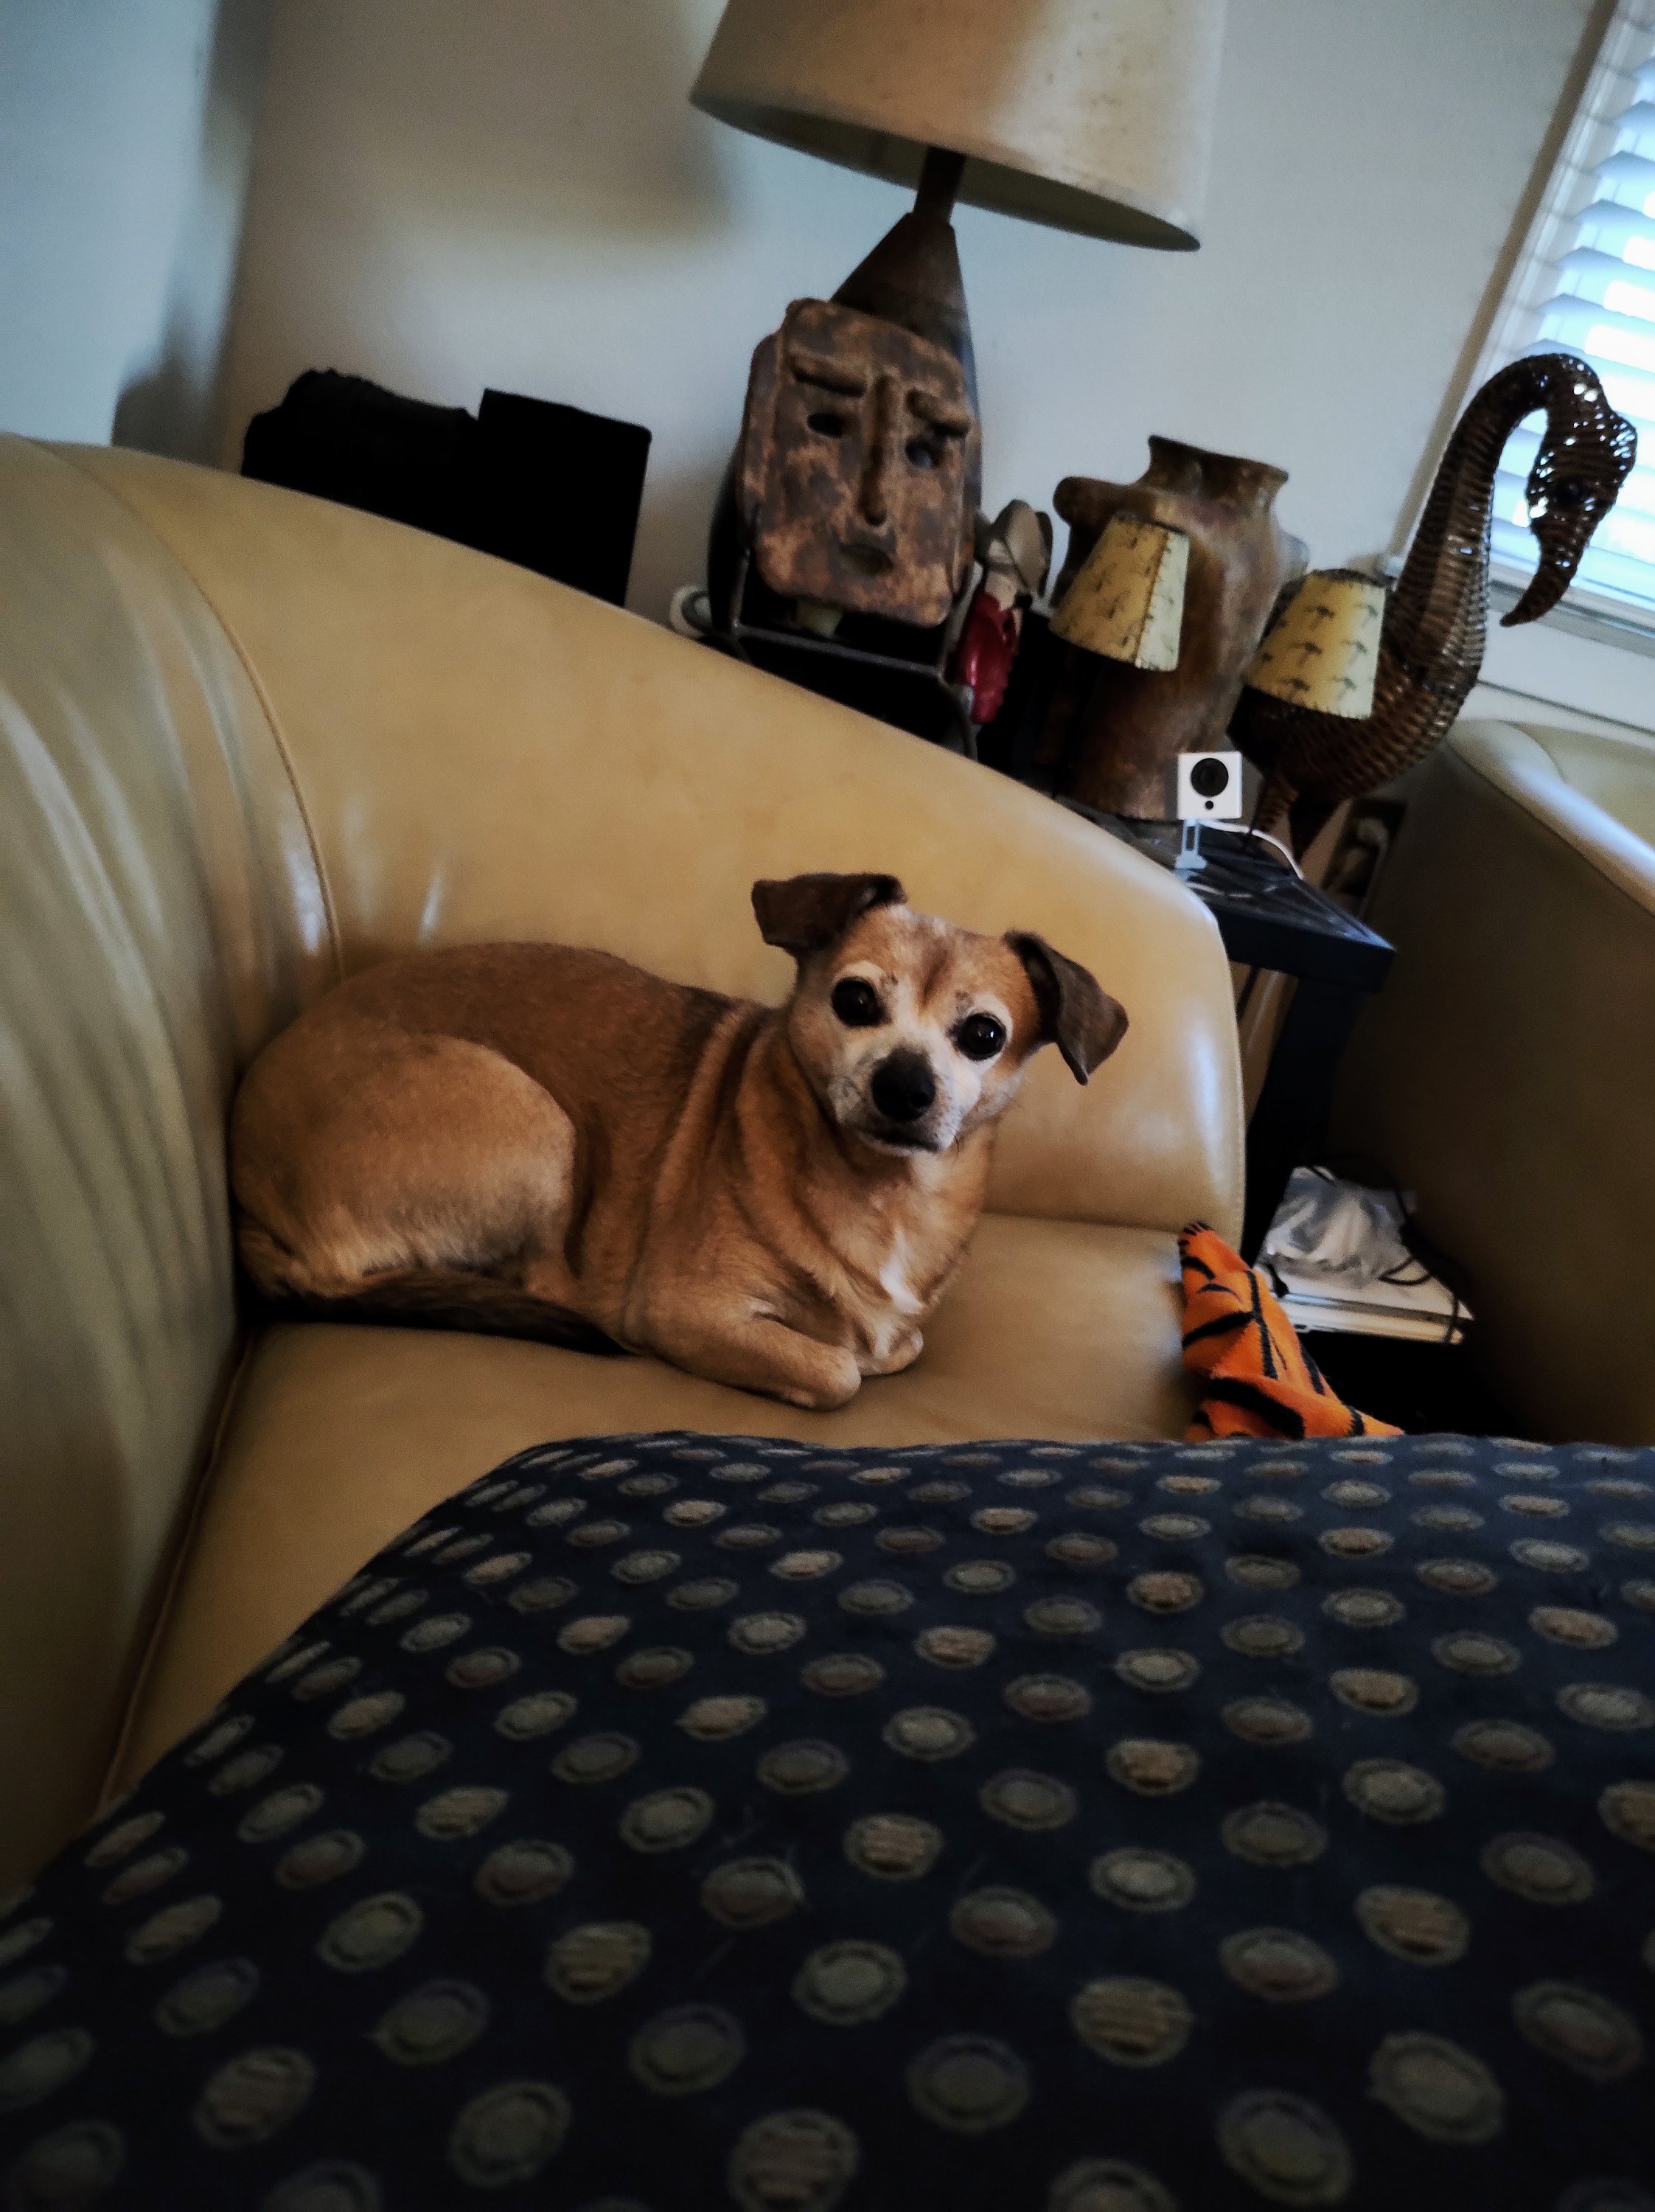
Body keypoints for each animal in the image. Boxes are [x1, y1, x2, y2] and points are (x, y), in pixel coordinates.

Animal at [230, 872, 1126, 1409]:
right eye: (855, 1000)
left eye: (982, 1035)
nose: (904, 1088)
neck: (887, 1191)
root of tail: (257, 1214)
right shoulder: (688, 1310)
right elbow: (839, 1367)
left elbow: (897, 1343)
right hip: (534, 1122)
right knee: (550, 1281)